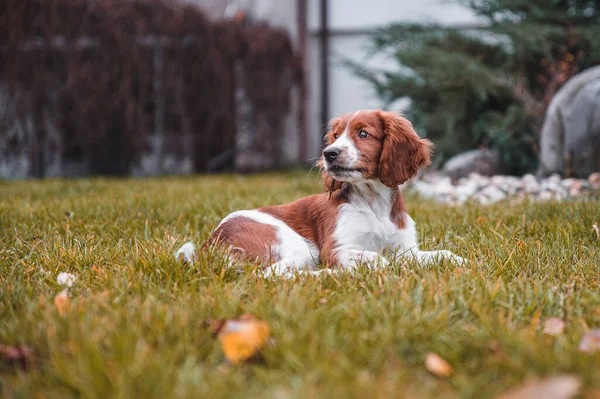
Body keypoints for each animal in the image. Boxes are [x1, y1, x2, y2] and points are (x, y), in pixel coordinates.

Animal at [176, 110, 466, 278]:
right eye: (335, 136)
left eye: (363, 134)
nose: (330, 153)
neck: (374, 202)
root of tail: (210, 244)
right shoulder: (336, 249)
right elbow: (378, 259)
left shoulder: (405, 248)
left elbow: (440, 254)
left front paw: (461, 261)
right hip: (294, 244)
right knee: (272, 275)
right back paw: (330, 275)